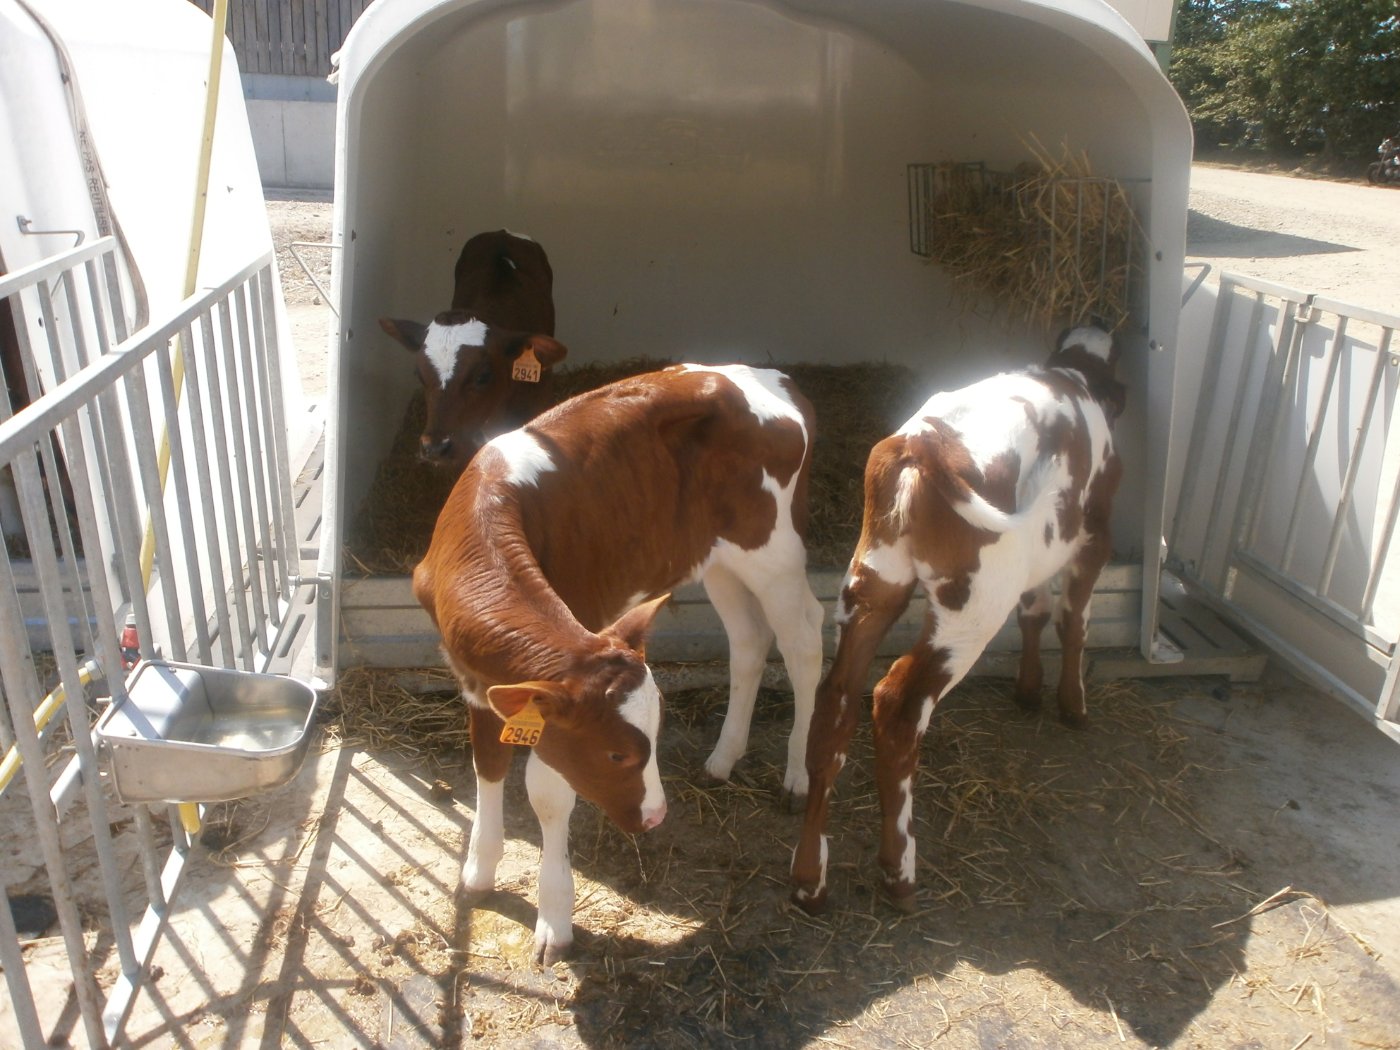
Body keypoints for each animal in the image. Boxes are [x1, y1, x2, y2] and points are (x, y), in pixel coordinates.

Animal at [413, 358, 825, 964]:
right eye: (616, 754)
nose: (655, 817)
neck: (481, 526)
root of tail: (770, 376)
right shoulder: (477, 682)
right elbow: (488, 765)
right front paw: (477, 875)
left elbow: (549, 795)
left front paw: (554, 920)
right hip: (718, 556)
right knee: (749, 639)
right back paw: (724, 758)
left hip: (774, 549)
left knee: (803, 640)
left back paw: (799, 774)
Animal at [789, 325, 1125, 915]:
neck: (1076, 373)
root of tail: (921, 443)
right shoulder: (1094, 538)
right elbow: (1073, 621)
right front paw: (1073, 705)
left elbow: (1035, 611)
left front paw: (1029, 689)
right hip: (970, 608)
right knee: (897, 705)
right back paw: (898, 871)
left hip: (872, 584)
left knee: (835, 703)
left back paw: (810, 879)